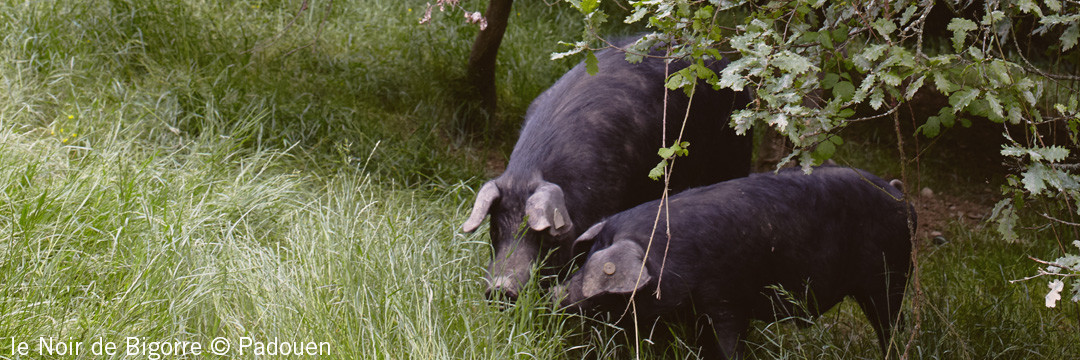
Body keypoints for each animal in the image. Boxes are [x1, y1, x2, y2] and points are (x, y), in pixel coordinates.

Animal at [561, 166, 915, 356]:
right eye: (586, 259)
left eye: (599, 276)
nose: (557, 293)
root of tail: (899, 193)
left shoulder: (725, 298)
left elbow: (728, 342)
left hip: (890, 275)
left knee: (891, 323)